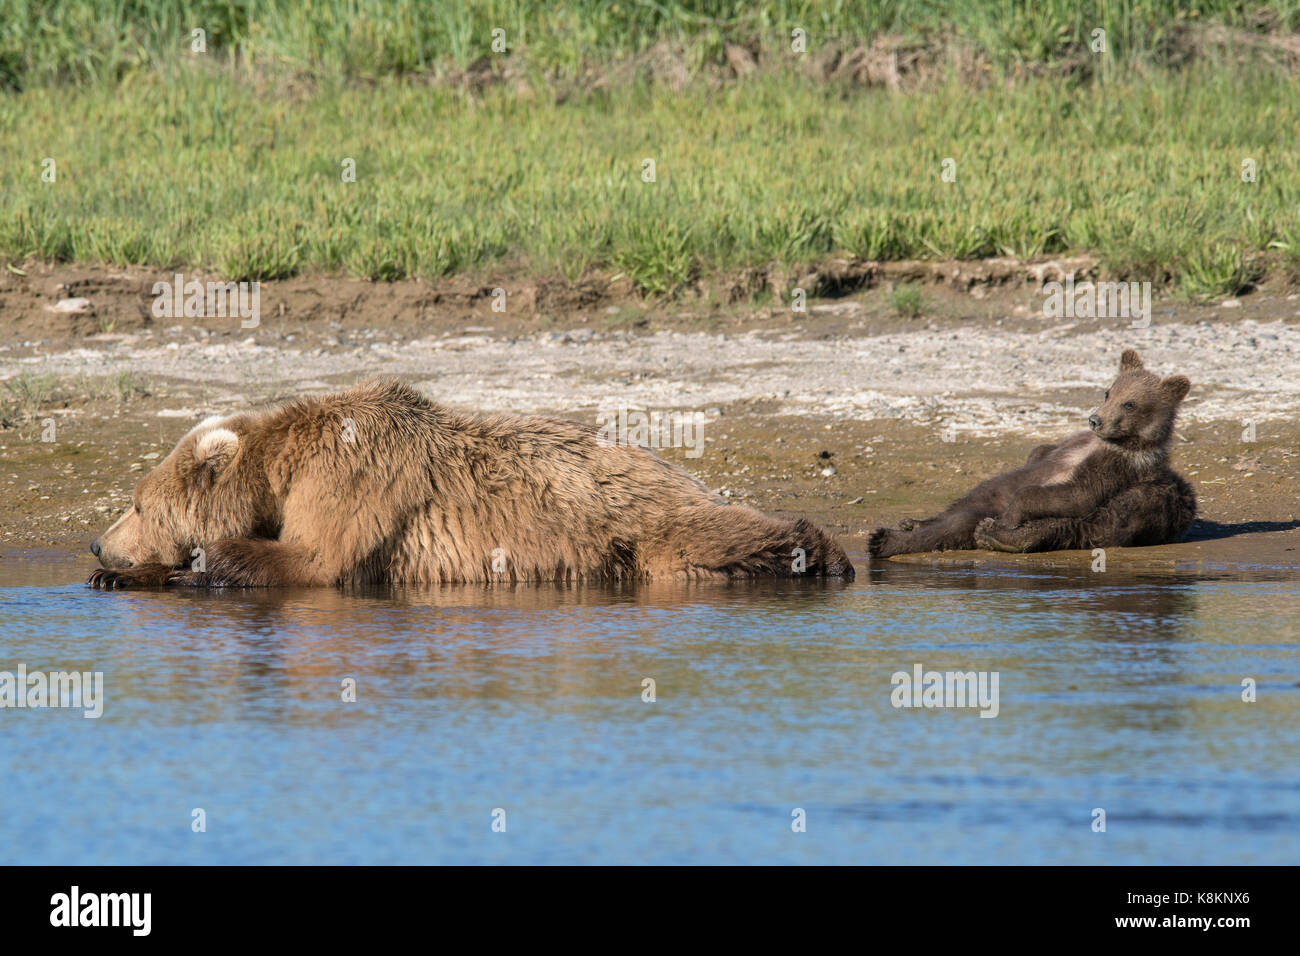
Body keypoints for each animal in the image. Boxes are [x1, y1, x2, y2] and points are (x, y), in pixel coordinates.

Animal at [89, 377, 852, 587]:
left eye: (136, 503)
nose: (98, 543)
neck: (279, 474)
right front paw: (123, 577)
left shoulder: (350, 479)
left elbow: (316, 560)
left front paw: (207, 562)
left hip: (637, 515)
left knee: (707, 539)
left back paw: (820, 552)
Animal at [868, 348, 1190, 561]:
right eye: (1108, 392)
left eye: (1130, 404)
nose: (1095, 420)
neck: (1113, 442)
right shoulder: (1070, 444)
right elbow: (1040, 453)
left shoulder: (1118, 466)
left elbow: (1075, 494)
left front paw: (1008, 519)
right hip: (987, 494)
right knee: (959, 508)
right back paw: (912, 524)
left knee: (960, 525)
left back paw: (883, 541)